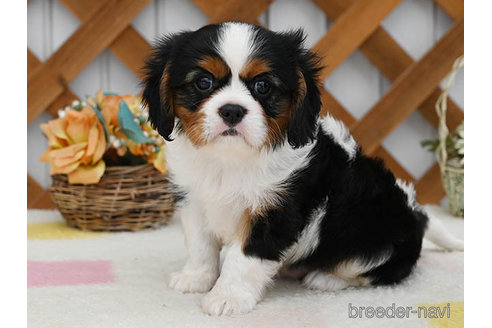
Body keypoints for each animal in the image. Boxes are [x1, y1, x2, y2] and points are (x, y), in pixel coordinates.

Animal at [140, 21, 464, 316]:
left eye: (263, 86)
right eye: (203, 83)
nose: (232, 110)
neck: (231, 158)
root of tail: (418, 214)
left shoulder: (277, 212)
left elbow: (244, 258)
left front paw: (228, 297)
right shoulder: (194, 200)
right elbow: (200, 245)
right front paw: (195, 279)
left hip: (378, 236)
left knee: (372, 271)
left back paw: (326, 278)